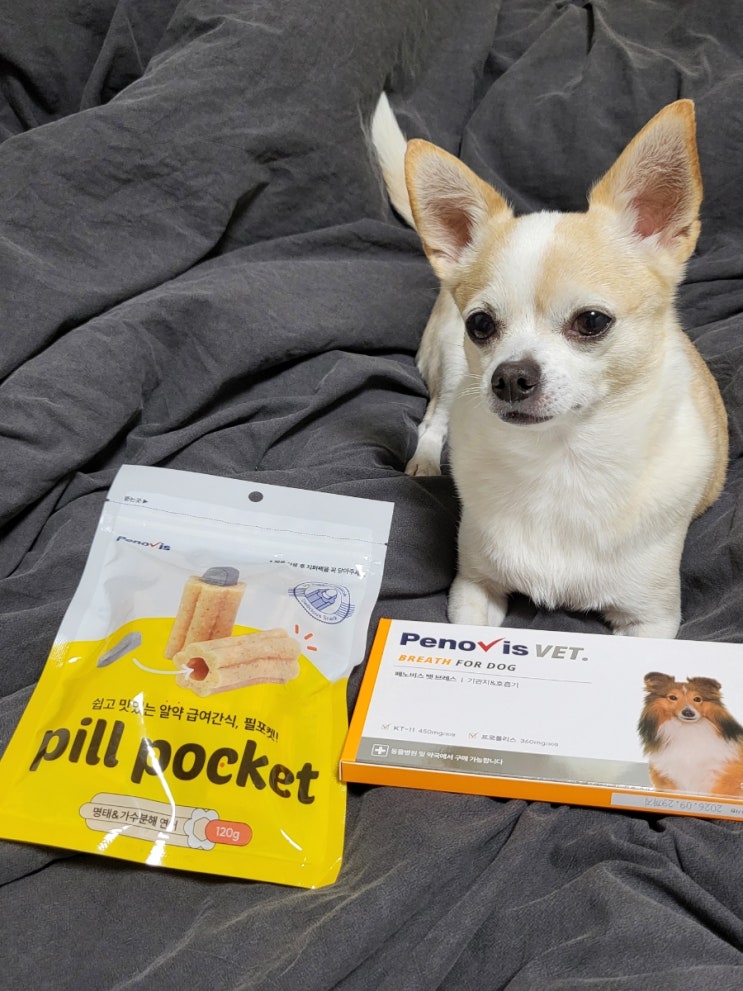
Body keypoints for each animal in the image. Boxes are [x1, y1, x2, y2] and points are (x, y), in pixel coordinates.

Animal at [371, 94, 728, 637]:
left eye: (592, 321)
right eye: (481, 324)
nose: (510, 376)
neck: (560, 460)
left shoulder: (651, 621)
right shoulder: (474, 586)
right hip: (453, 369)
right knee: (434, 420)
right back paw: (426, 462)